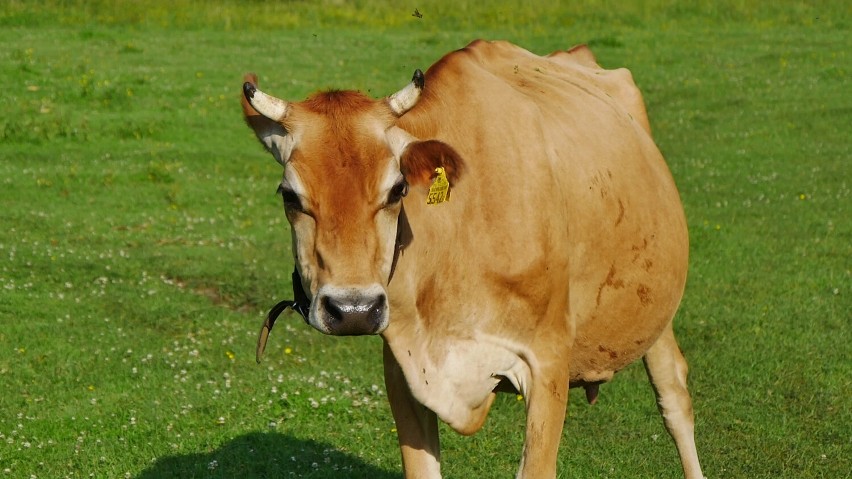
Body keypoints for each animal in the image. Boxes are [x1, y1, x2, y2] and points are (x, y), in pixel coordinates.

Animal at [241, 39, 704, 478]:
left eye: (397, 189)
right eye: (289, 195)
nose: (353, 310)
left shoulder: (549, 360)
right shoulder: (402, 367)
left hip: (656, 310)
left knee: (673, 396)